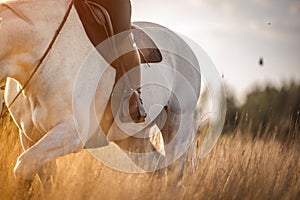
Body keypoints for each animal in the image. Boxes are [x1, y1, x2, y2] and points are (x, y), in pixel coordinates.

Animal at [0, 0, 204, 191]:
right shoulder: (29, 136)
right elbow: (43, 177)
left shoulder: (71, 133)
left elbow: (23, 166)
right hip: (132, 139)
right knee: (157, 168)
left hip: (178, 124)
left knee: (174, 174)